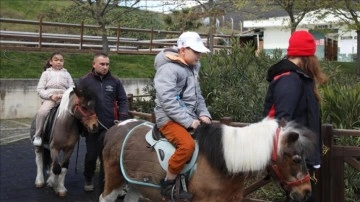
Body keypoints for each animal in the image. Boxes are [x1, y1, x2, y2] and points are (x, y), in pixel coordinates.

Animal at [99, 117, 316, 201]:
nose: (306, 192)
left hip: (134, 185)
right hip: (114, 181)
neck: (224, 162)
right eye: (297, 159)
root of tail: (114, 128)